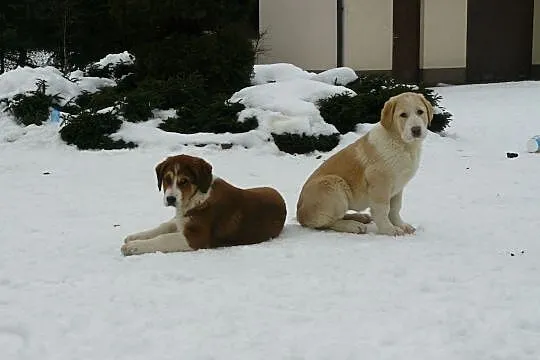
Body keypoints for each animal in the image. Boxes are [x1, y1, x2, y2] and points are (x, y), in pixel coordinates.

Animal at [121, 153, 288, 255]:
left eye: (184, 181)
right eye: (167, 179)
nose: (170, 199)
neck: (197, 197)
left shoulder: (195, 237)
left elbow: (164, 238)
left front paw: (132, 247)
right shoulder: (182, 220)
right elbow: (163, 227)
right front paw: (135, 237)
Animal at [298, 91, 432, 235]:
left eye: (420, 112)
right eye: (403, 115)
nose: (416, 130)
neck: (402, 144)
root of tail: (300, 215)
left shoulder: (398, 187)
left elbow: (395, 209)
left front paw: (401, 225)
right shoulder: (379, 182)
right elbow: (383, 210)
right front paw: (389, 229)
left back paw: (360, 217)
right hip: (333, 185)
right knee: (327, 222)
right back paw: (353, 225)